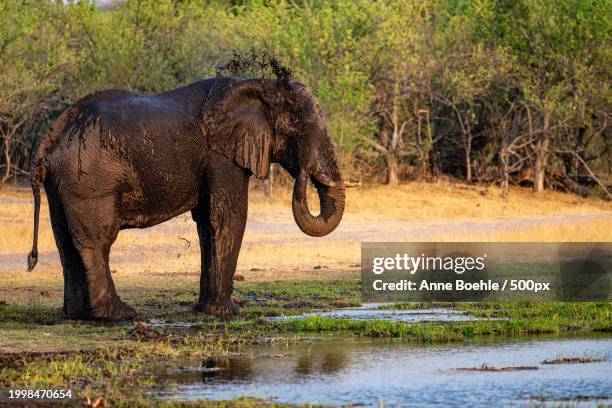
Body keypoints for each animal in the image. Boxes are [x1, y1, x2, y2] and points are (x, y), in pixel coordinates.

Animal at [27, 62, 344, 320]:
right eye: (297, 124)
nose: (304, 171)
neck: (257, 85)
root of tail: (50, 139)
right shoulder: (220, 155)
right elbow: (229, 216)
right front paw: (227, 313)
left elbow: (207, 223)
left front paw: (205, 310)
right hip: (90, 178)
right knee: (98, 240)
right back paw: (117, 314)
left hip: (65, 181)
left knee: (65, 240)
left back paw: (78, 315)